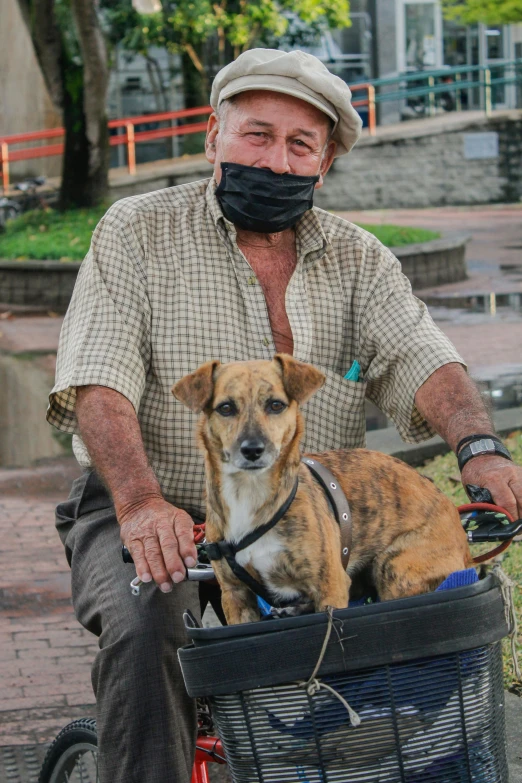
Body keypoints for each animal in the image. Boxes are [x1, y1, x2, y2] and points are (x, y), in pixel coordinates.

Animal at [173, 356, 474, 624]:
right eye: (225, 408)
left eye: (275, 405)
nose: (252, 449)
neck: (250, 492)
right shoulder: (235, 596)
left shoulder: (330, 588)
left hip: (396, 569)